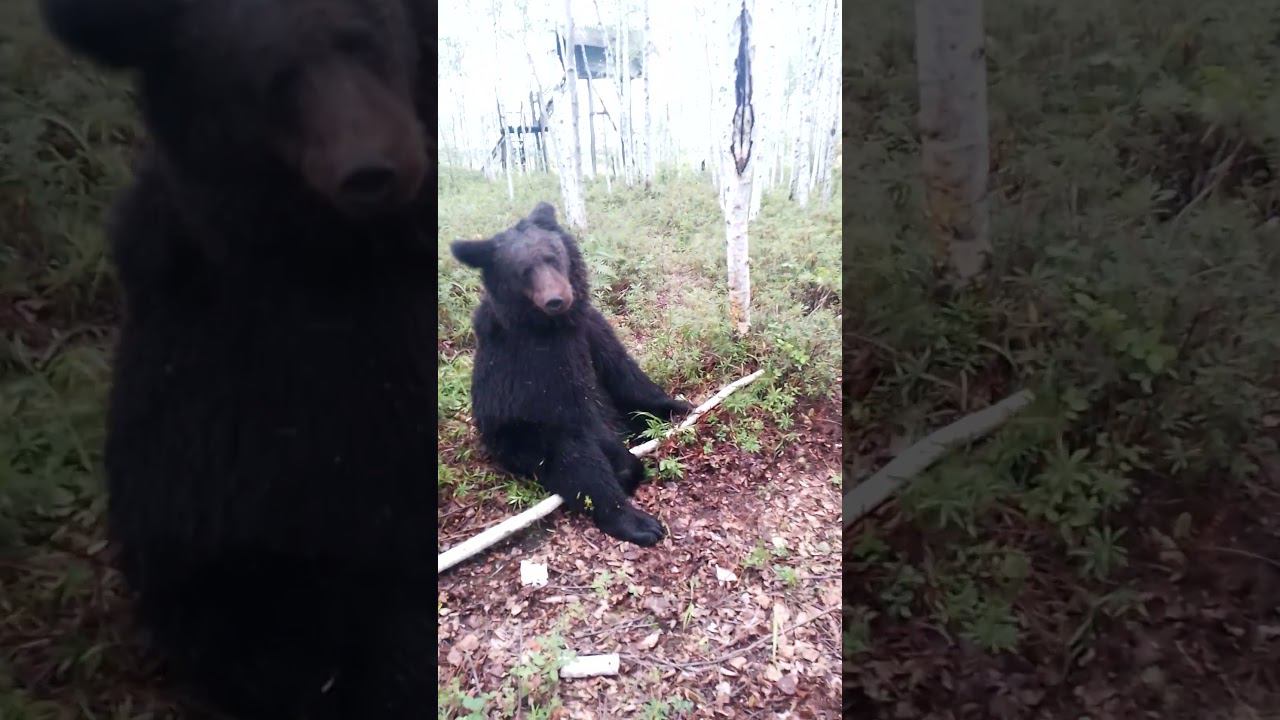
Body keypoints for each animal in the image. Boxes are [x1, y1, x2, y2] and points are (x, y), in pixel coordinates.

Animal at [451, 203, 693, 547]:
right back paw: (638, 521)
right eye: (522, 270)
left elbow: (624, 372)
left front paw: (679, 406)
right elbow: (575, 420)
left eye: (553, 255)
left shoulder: (590, 329)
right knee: (573, 459)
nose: (556, 299)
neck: (556, 326)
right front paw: (625, 473)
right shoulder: (539, 366)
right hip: (519, 437)